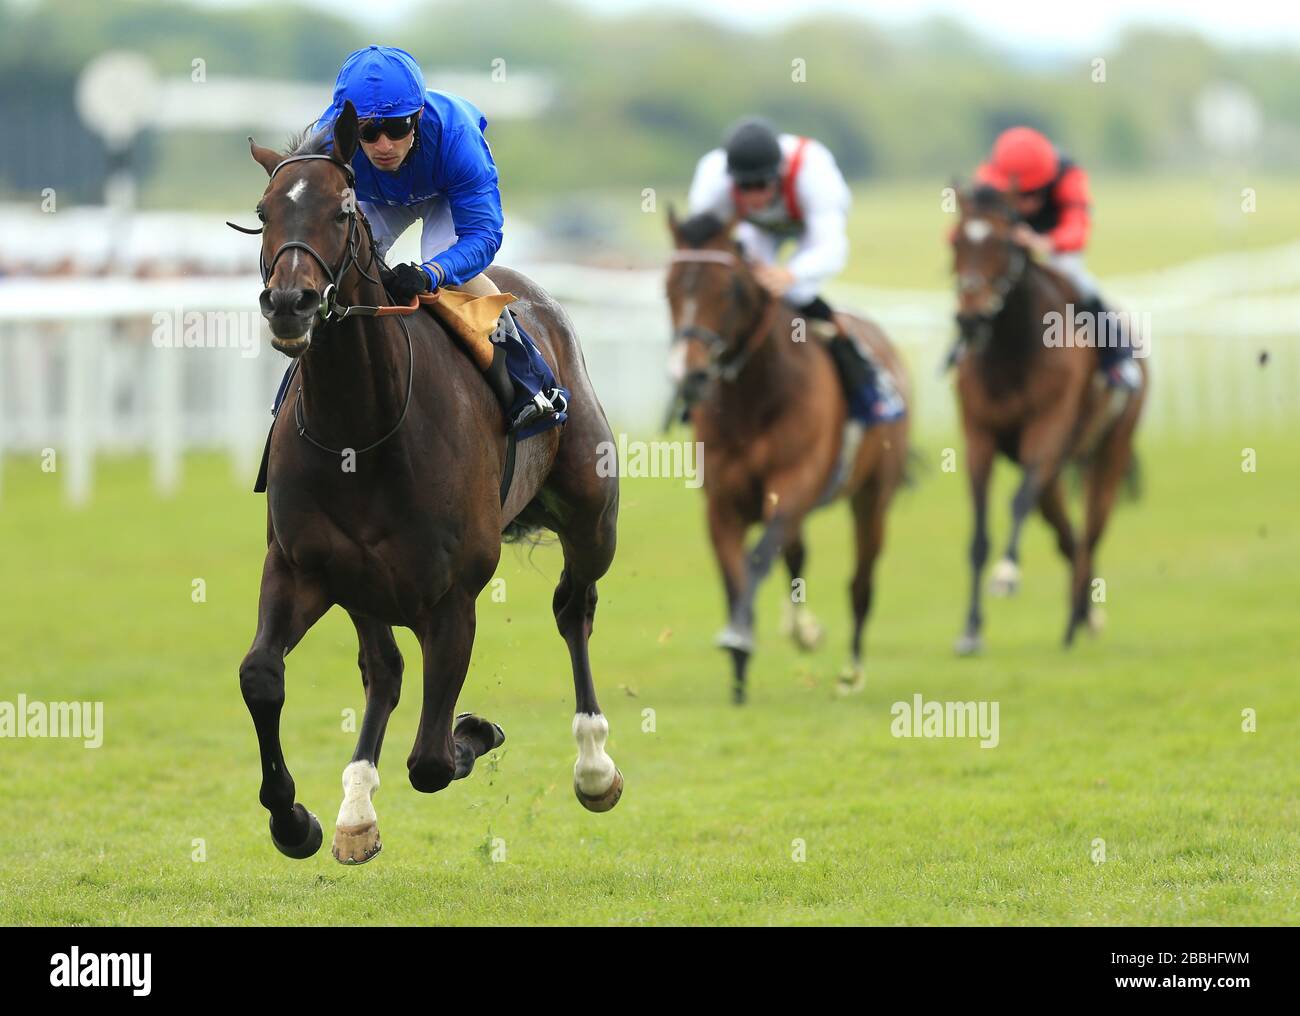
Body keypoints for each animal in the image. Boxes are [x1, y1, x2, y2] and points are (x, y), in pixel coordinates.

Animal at [235, 101, 624, 867]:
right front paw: (295, 821)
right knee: (383, 669)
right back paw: (355, 810)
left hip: (594, 519)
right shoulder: (302, 567)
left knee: (574, 607)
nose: (290, 302)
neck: (362, 432)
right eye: (265, 211)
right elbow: (262, 676)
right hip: (364, 586)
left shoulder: (453, 596)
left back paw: (595, 766)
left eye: (344, 209)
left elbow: (433, 759)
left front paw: (476, 729)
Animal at [665, 210, 909, 706]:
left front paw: (741, 640)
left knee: (860, 583)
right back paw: (803, 630)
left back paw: (852, 672)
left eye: (727, 290)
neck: (754, 397)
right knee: (797, 556)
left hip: (872, 497)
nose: (689, 375)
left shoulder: (794, 485)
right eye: (670, 289)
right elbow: (735, 574)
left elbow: (758, 559)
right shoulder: (722, 502)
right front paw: (739, 673)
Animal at [946, 185, 1149, 657]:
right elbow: (978, 535)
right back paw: (1083, 615)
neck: (1011, 350)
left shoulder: (1049, 428)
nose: (970, 318)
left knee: (1090, 533)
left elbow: (1018, 502)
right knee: (1067, 536)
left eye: (1004, 244)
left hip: (1109, 450)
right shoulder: (979, 436)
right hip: (1056, 472)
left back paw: (1076, 619)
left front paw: (1007, 574)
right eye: (957, 242)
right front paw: (971, 630)